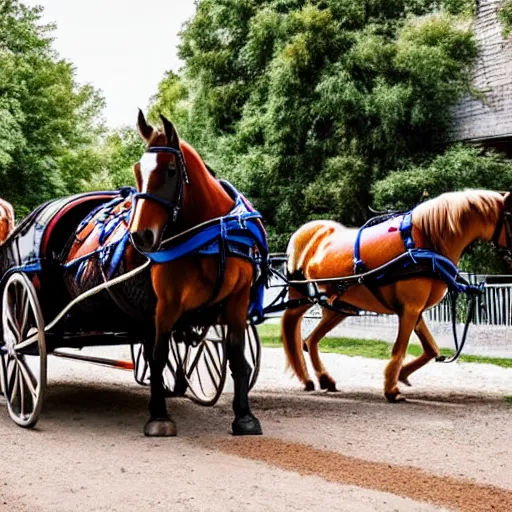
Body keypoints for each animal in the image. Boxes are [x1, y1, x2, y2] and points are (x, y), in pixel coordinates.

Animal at [127, 111, 264, 436]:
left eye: (170, 171)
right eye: (138, 171)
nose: (140, 236)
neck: (213, 234)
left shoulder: (239, 299)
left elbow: (237, 357)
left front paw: (244, 415)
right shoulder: (166, 304)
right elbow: (158, 355)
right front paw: (159, 415)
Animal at [284, 190, 512, 402]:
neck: (426, 242)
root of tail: (309, 235)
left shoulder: (416, 310)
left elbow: (431, 349)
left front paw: (401, 374)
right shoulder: (410, 308)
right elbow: (400, 348)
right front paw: (391, 389)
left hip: (338, 307)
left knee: (309, 340)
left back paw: (324, 379)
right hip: (302, 298)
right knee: (291, 325)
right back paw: (307, 378)